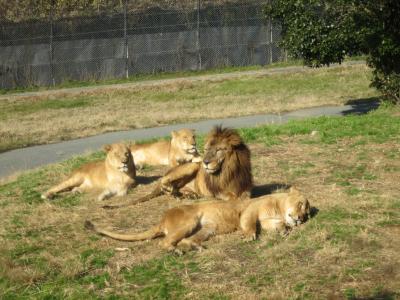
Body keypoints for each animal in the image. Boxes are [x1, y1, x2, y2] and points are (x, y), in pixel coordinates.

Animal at [83, 188, 310, 251]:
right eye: (302, 205)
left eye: (307, 213)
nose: (301, 218)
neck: (278, 207)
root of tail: (163, 218)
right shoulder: (249, 212)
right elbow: (249, 225)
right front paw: (249, 237)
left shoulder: (268, 220)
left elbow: (276, 225)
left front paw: (284, 230)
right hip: (190, 220)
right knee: (165, 242)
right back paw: (175, 251)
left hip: (206, 228)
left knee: (185, 240)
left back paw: (195, 247)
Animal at [103, 126, 253, 209]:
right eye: (206, 149)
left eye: (218, 150)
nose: (205, 162)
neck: (228, 170)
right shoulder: (216, 192)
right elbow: (233, 197)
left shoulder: (245, 187)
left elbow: (245, 195)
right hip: (190, 167)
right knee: (165, 183)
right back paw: (173, 192)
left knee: (177, 188)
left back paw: (187, 195)